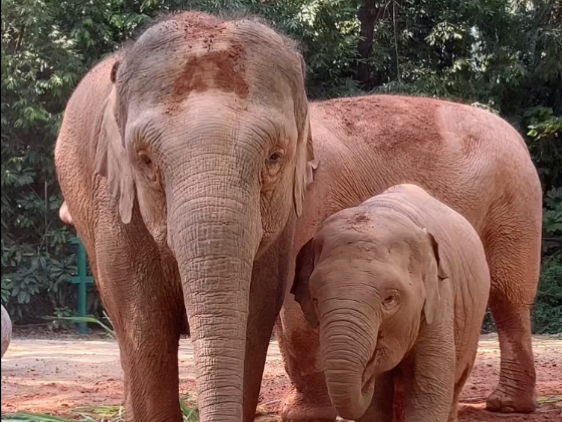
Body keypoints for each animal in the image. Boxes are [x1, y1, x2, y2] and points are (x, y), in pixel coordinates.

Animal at [290, 185, 488, 422]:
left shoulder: (439, 303)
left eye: (390, 299)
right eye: (315, 300)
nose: (366, 375)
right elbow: (374, 408)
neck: (383, 210)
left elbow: (428, 393)